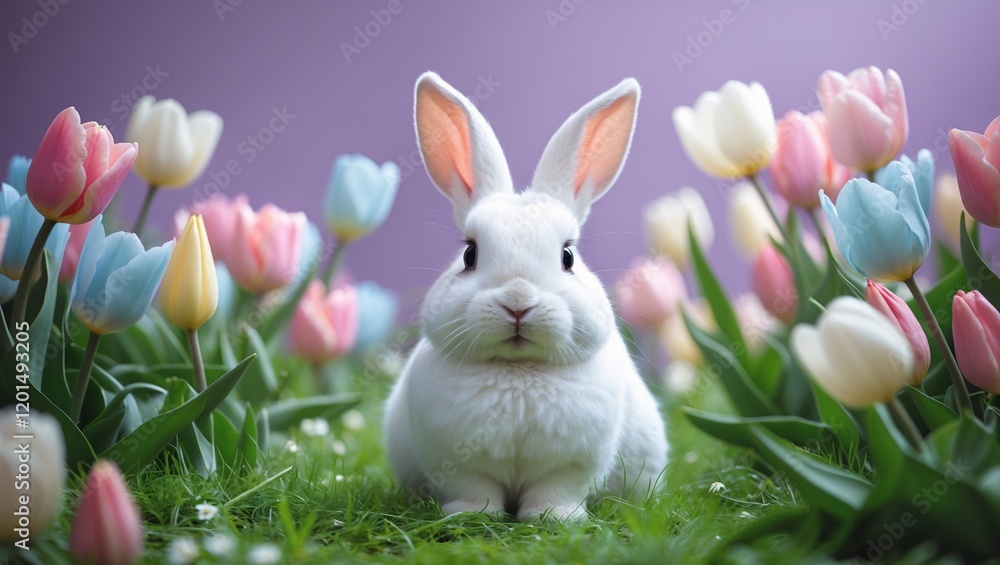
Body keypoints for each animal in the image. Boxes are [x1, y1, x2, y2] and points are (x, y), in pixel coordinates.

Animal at [384, 71, 668, 522]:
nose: (518, 301)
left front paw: (553, 517)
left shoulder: (573, 464)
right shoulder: (456, 462)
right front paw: (471, 515)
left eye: (568, 256)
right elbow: (473, 488)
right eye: (469, 254)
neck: (518, 371)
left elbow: (557, 489)